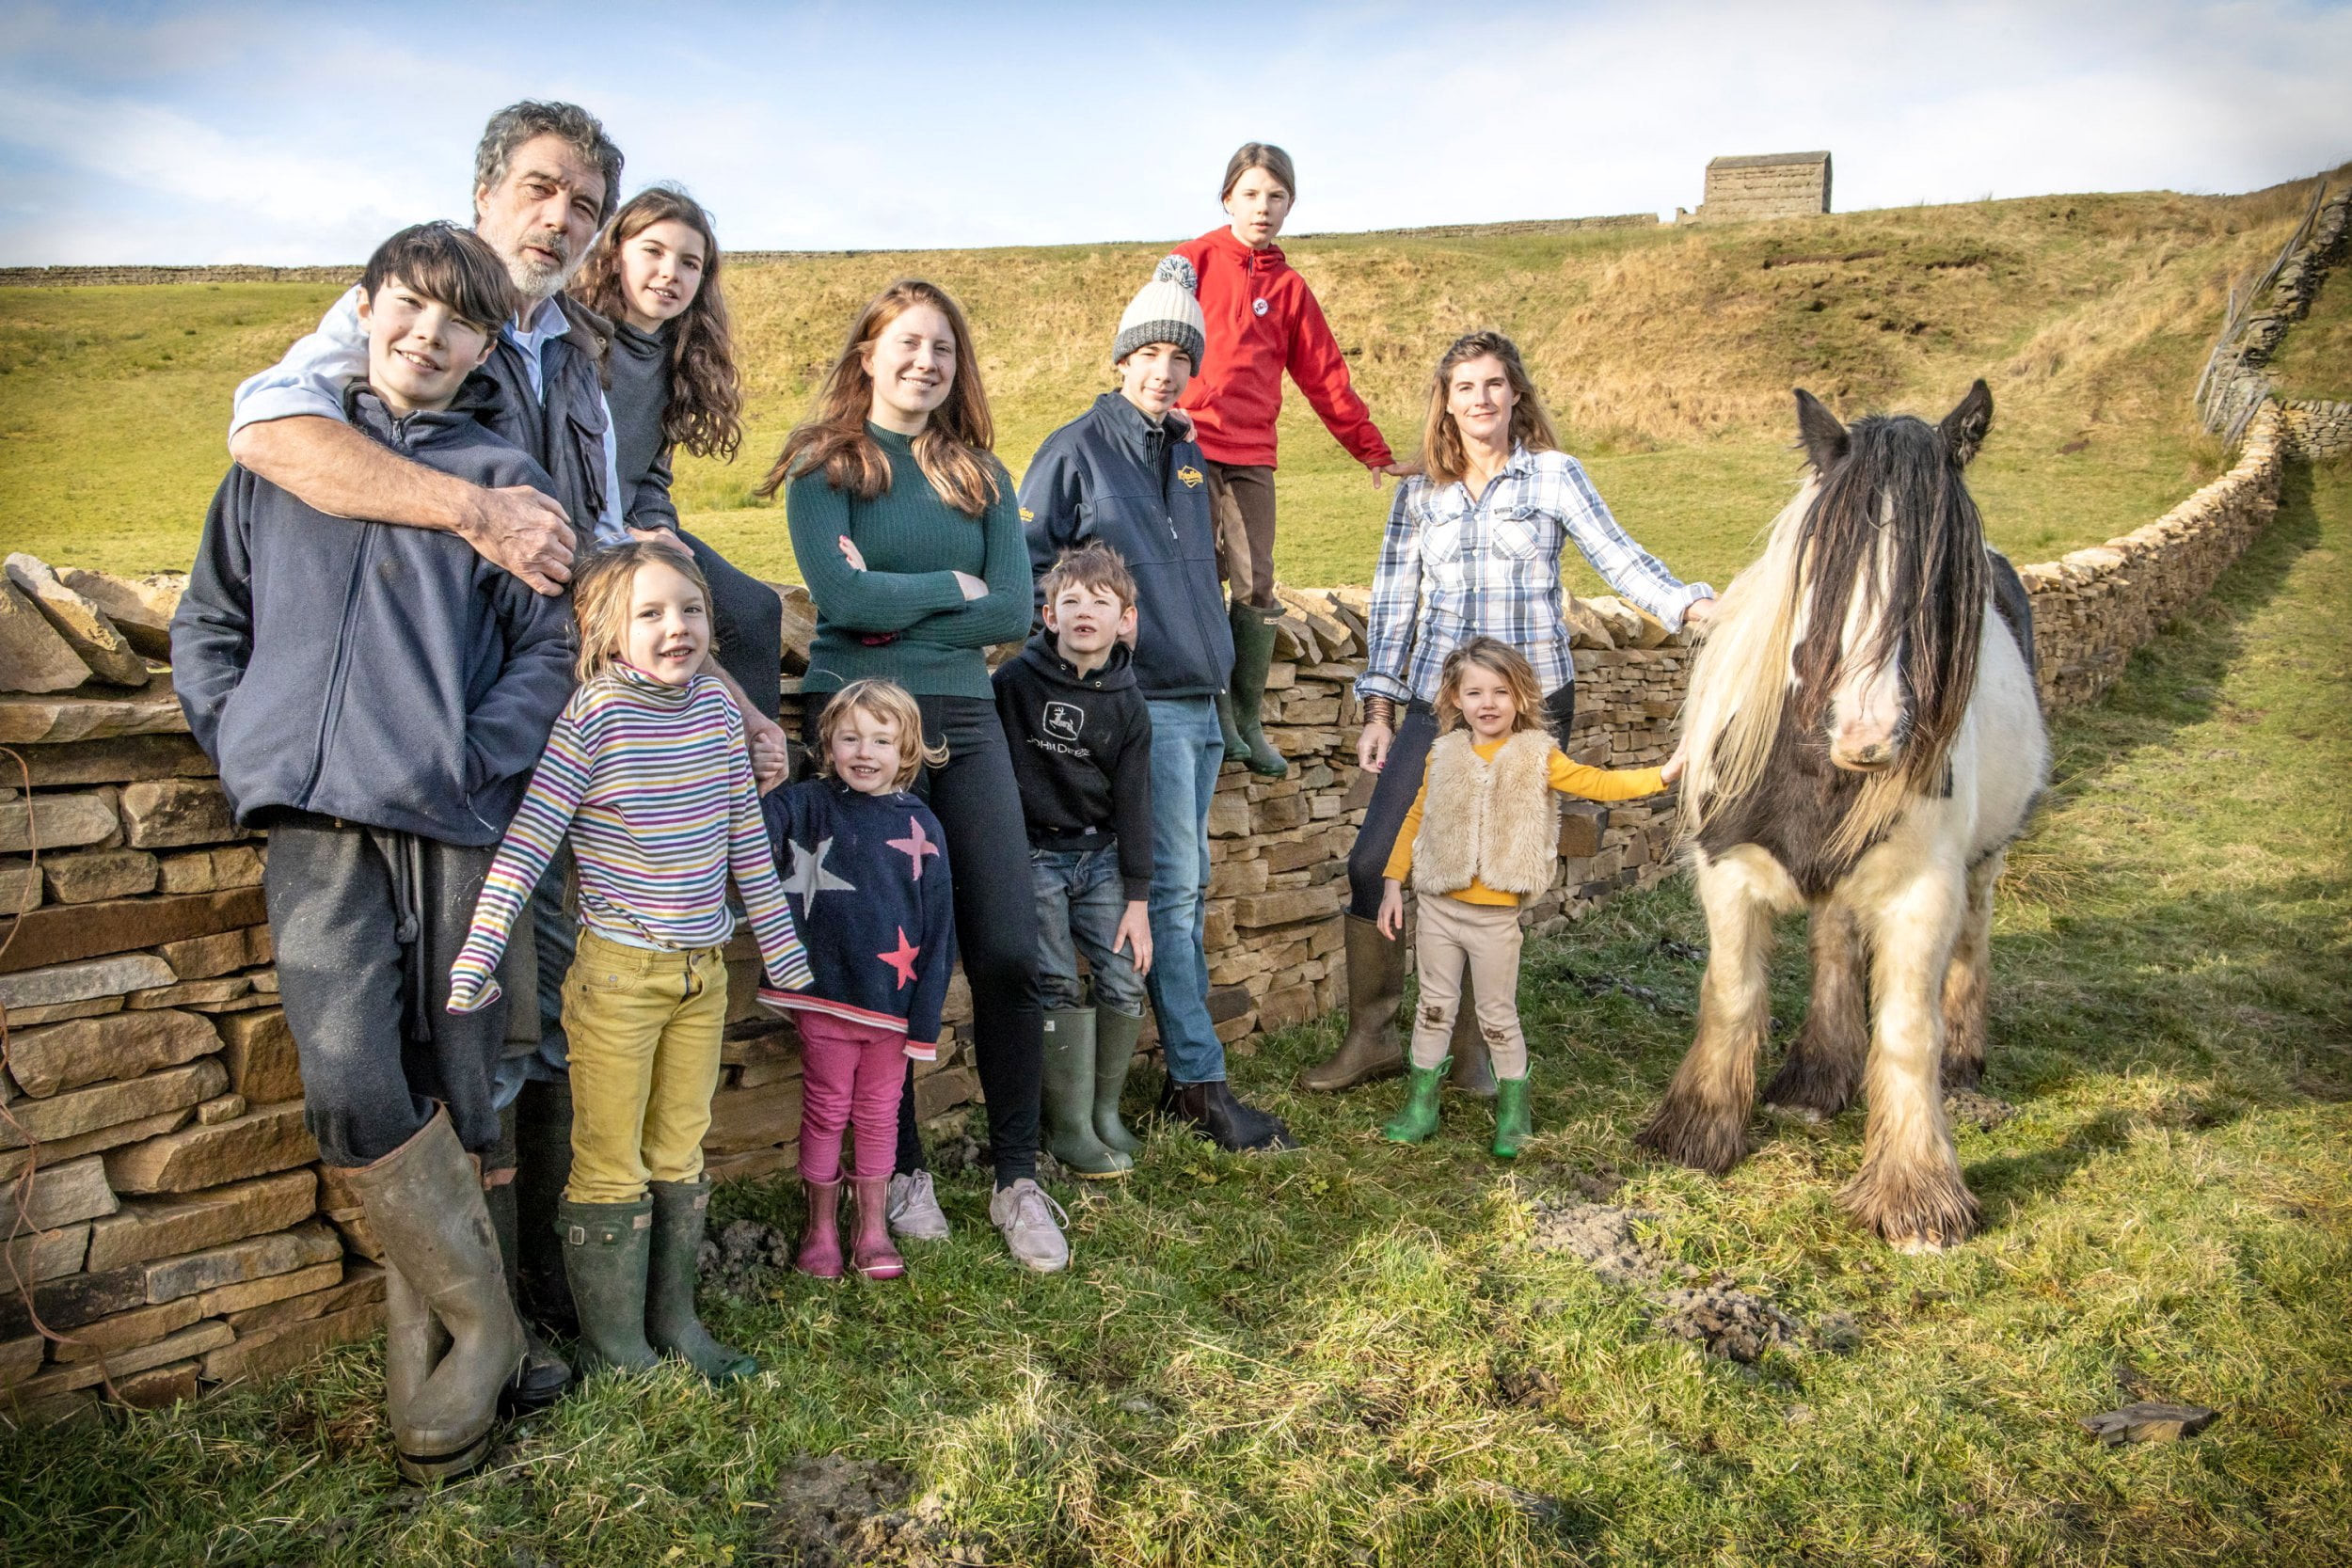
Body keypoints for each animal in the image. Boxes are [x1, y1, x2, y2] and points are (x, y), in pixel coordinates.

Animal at [1637, 385, 2042, 1259]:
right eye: (1821, 567)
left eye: (1942, 585)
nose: (1867, 736)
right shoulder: (1726, 872)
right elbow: (1732, 992)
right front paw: (1698, 1132)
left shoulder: (1923, 893)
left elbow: (1907, 1029)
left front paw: (1917, 1195)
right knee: (1832, 941)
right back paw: (1817, 1075)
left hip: (1985, 860)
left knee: (1972, 940)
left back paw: (1964, 1053)